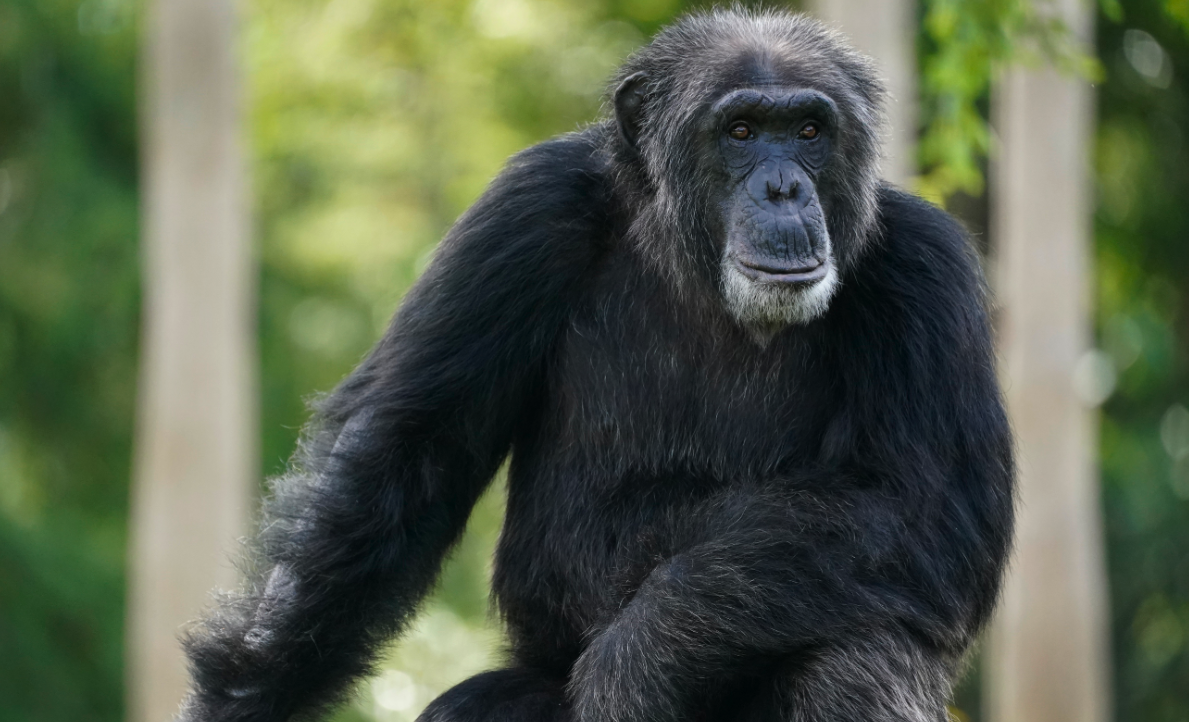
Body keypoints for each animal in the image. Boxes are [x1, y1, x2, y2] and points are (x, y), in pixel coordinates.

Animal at [178, 7, 1013, 722]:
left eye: (809, 128)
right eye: (740, 130)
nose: (782, 187)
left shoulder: (926, 272)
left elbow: (931, 507)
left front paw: (639, 660)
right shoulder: (520, 214)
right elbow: (398, 457)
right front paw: (242, 693)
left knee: (856, 659)